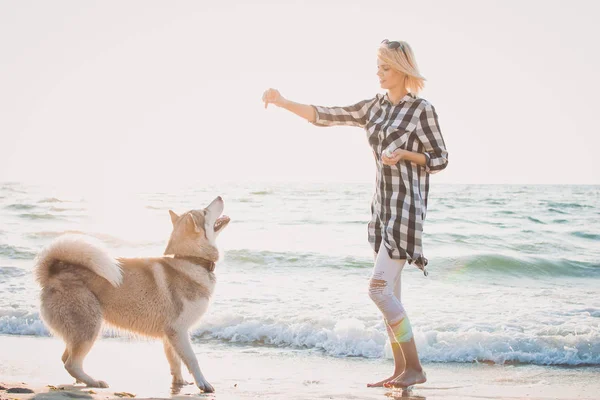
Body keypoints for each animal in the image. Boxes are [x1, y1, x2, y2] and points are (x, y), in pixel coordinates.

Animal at [33, 195, 230, 392]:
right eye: (205, 211)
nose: (220, 197)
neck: (190, 261)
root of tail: (52, 273)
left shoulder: (170, 335)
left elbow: (175, 361)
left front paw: (179, 382)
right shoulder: (179, 330)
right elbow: (192, 359)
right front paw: (203, 383)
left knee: (66, 358)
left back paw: (83, 380)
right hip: (90, 327)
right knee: (71, 363)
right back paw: (94, 382)